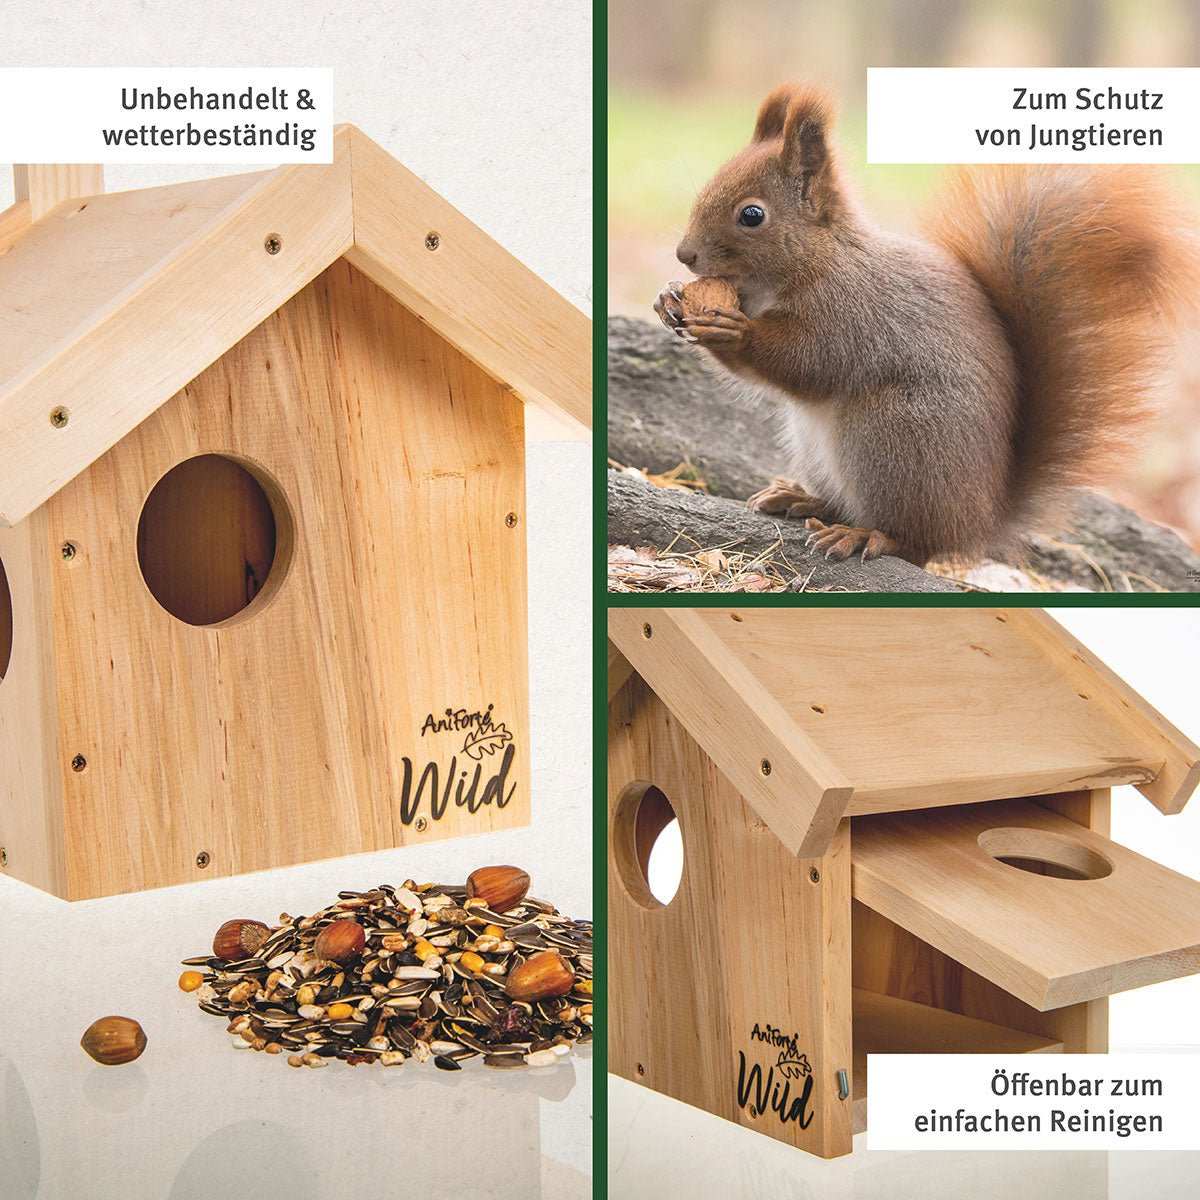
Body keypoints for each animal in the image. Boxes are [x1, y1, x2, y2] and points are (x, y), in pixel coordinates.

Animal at [654, 83, 1197, 565]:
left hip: (892, 437)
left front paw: (733, 331)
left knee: (915, 542)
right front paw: (667, 300)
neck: (812, 261)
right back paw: (803, 500)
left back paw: (864, 536)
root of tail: (978, 523)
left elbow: (808, 362)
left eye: (752, 215)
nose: (684, 255)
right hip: (819, 444)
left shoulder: (850, 314)